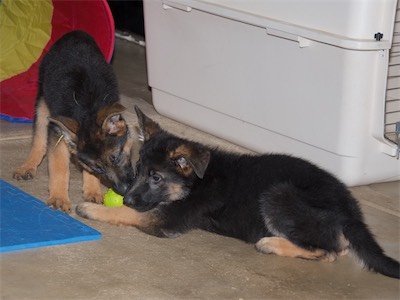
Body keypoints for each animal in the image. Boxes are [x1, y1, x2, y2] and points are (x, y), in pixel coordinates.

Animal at [13, 30, 135, 212]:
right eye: (99, 167)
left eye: (114, 158)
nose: (123, 191)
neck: (87, 109)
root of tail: (75, 33)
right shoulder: (57, 133)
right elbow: (59, 167)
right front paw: (59, 197)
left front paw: (92, 190)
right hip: (42, 104)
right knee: (39, 140)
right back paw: (28, 165)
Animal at [76, 106, 398, 278]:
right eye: (138, 168)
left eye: (156, 177)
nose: (127, 196)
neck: (196, 181)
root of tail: (351, 213)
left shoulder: (166, 220)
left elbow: (126, 214)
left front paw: (93, 209)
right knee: (336, 247)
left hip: (278, 194)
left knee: (328, 251)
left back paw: (272, 243)